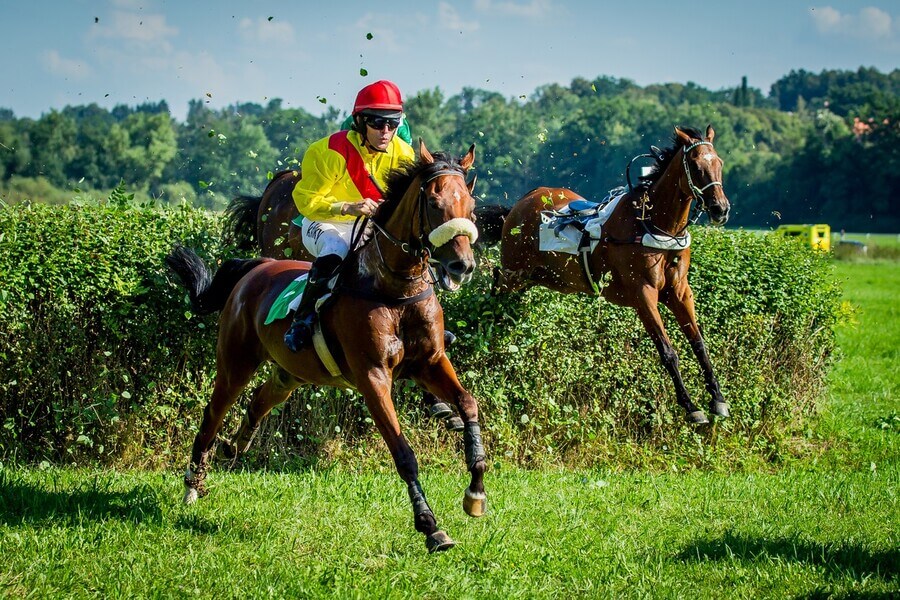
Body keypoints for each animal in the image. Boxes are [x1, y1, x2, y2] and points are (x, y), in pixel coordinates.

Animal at [171, 141, 488, 552]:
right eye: (434, 203)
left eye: (471, 204)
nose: (462, 265)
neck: (393, 288)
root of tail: (257, 267)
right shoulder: (372, 378)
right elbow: (404, 454)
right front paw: (430, 526)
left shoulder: (430, 362)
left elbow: (468, 403)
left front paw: (476, 490)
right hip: (235, 363)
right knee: (213, 414)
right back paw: (193, 484)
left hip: (290, 373)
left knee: (261, 399)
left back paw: (235, 445)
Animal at [492, 125, 732, 424]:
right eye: (697, 167)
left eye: (719, 163)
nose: (721, 209)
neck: (655, 224)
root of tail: (518, 205)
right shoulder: (643, 294)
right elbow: (668, 352)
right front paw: (691, 406)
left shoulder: (679, 291)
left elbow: (699, 344)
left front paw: (718, 399)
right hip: (514, 273)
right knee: (495, 286)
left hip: (543, 277)